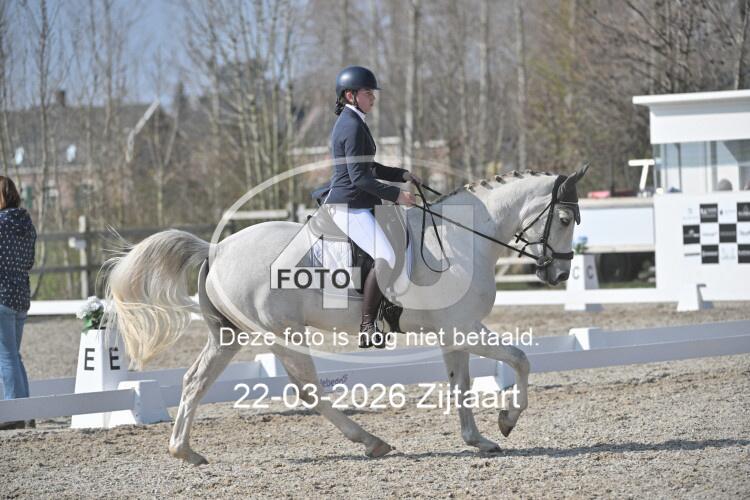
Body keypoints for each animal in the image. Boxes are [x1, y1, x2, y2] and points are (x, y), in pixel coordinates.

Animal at [104, 166, 589, 465]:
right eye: (565, 219)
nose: (560, 273)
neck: (461, 238)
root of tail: (217, 247)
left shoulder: (454, 332)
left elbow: (462, 385)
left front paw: (479, 439)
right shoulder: (465, 328)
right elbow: (521, 359)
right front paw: (507, 421)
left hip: (229, 335)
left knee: (195, 381)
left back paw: (185, 452)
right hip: (281, 334)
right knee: (308, 391)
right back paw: (371, 442)